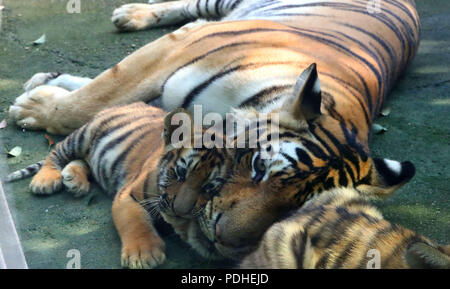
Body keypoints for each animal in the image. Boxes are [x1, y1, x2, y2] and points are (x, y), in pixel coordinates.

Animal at [7, 0, 422, 264]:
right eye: (258, 166)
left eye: (293, 208)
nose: (225, 238)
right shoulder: (171, 55)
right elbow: (93, 97)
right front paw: (32, 105)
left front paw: (42, 89)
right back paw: (131, 14)